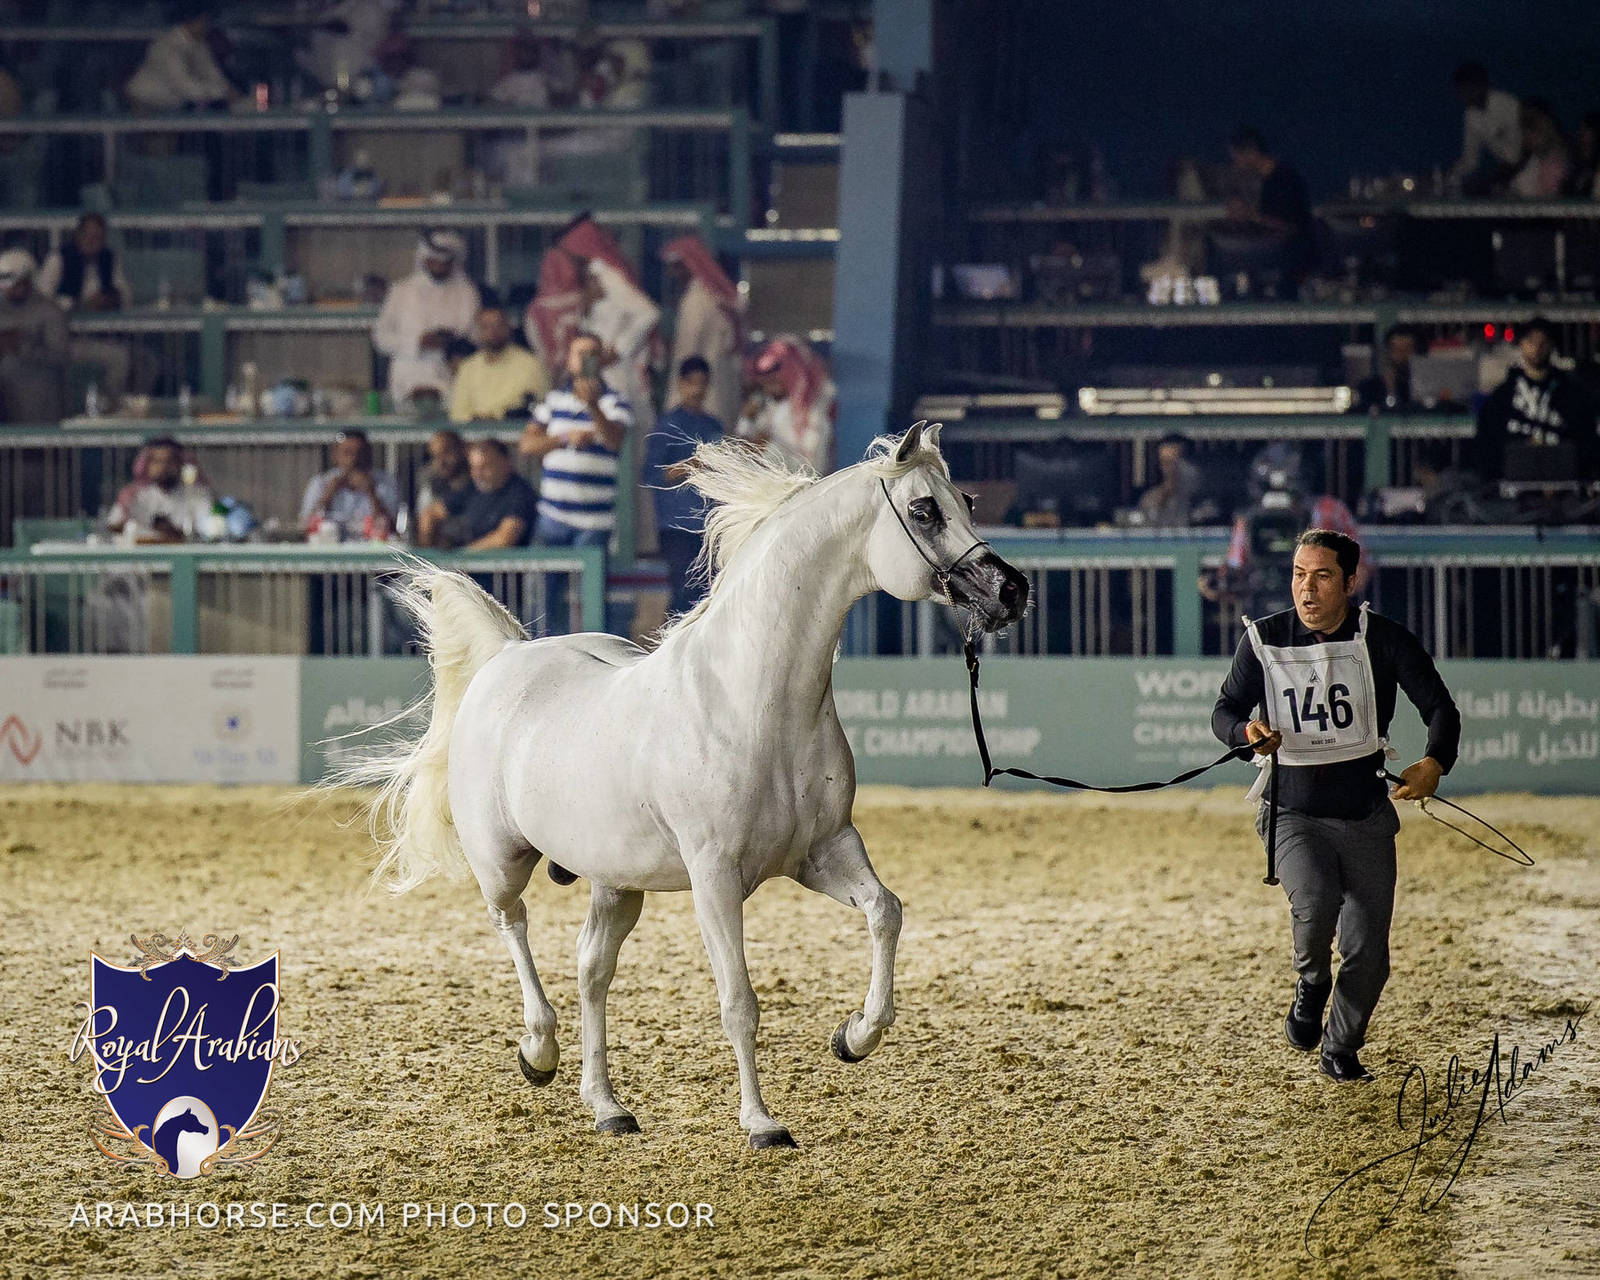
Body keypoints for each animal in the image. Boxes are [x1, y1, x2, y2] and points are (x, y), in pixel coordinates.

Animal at [345, 422, 1029, 1148]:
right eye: (925, 510)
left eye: (967, 500)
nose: (1012, 592)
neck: (752, 702)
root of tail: (507, 656)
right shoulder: (715, 877)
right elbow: (739, 1001)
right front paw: (761, 1123)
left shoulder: (825, 852)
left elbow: (885, 911)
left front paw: (855, 1036)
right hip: (501, 863)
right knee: (515, 927)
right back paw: (539, 1051)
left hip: (617, 883)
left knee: (592, 970)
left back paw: (608, 1106)